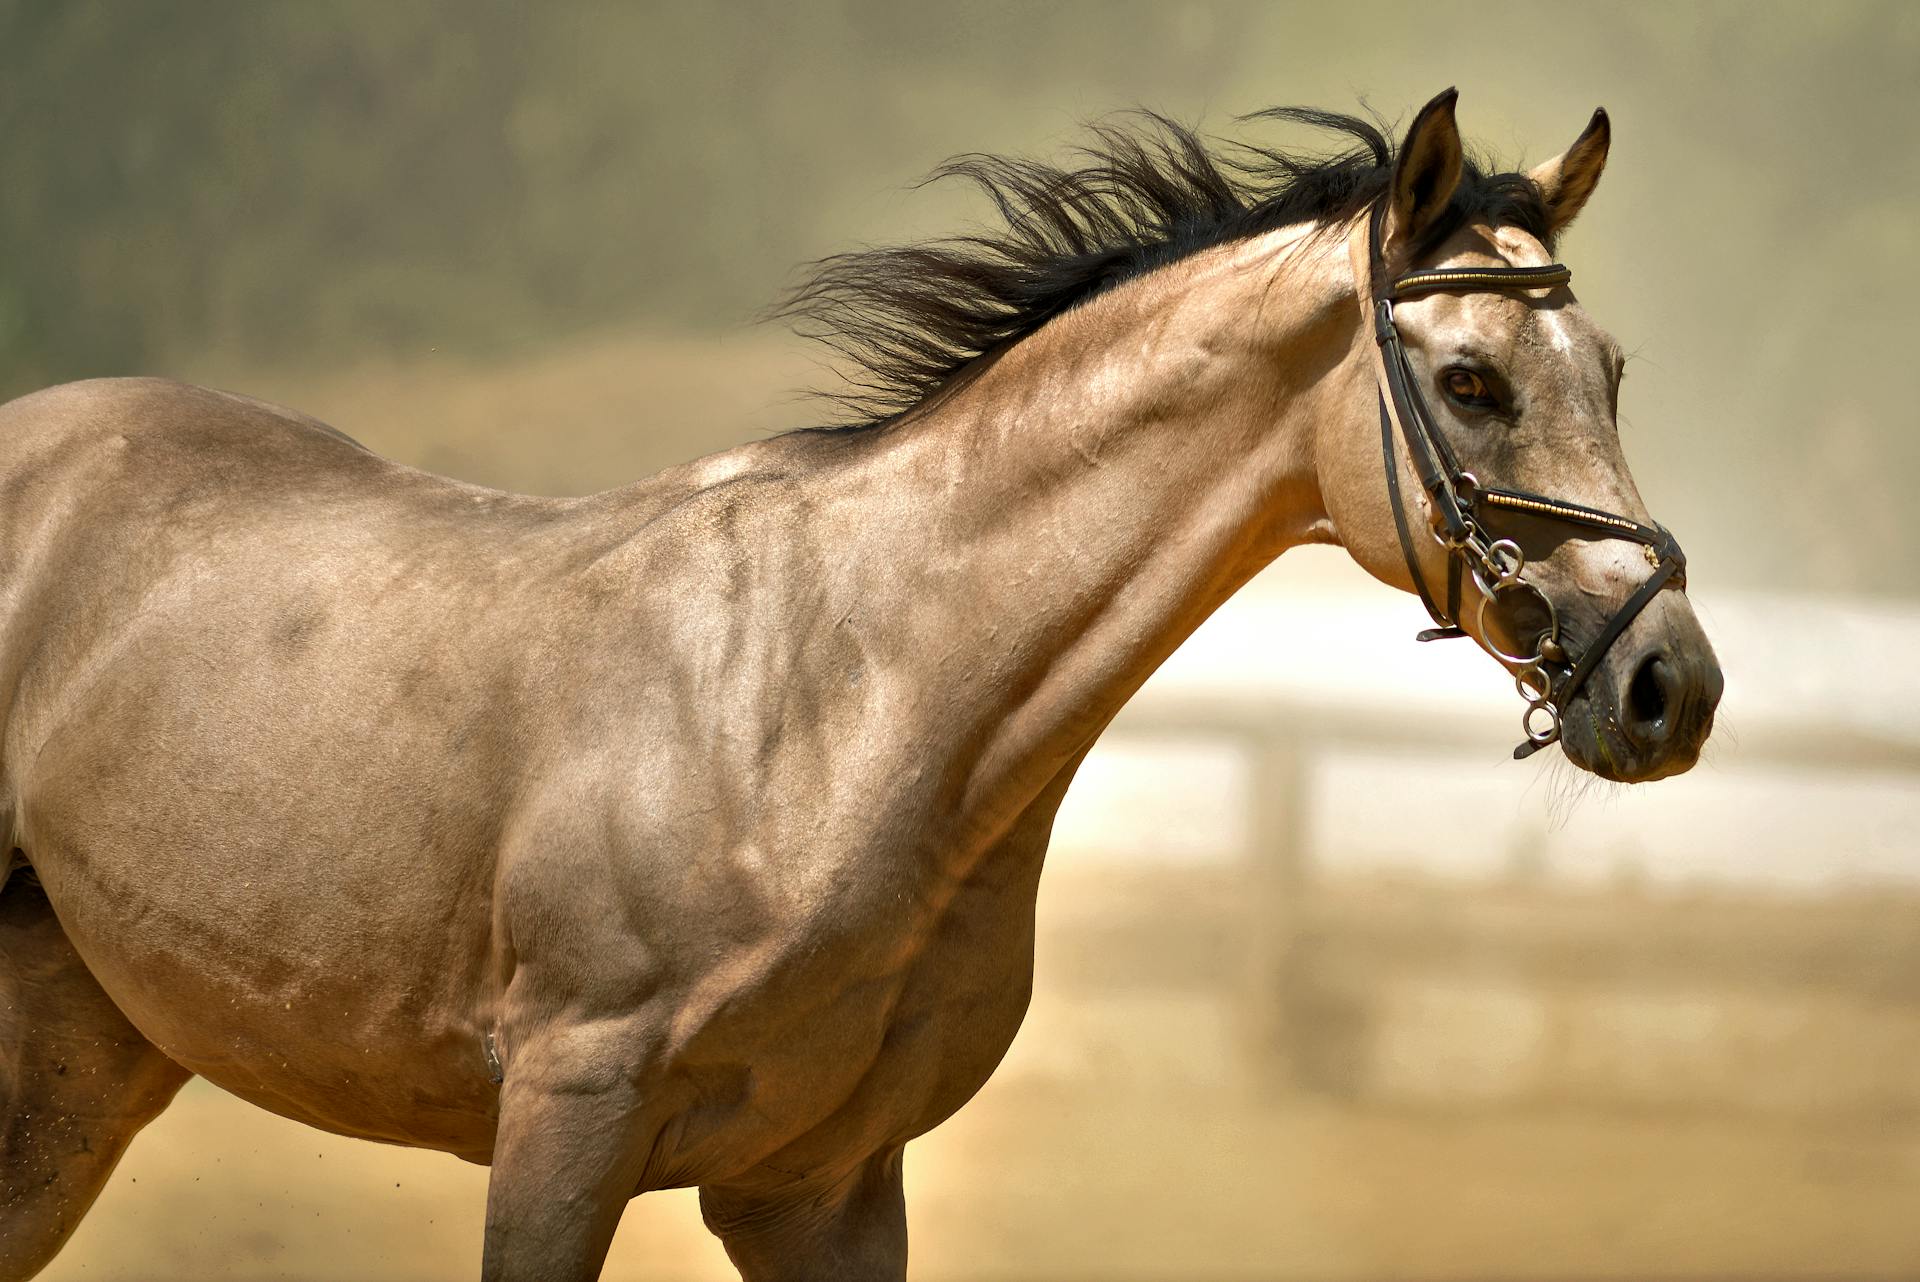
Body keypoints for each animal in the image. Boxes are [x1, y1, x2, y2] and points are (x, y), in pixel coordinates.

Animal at [0, 92, 1720, 1282]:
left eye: (1613, 370)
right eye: (1471, 381)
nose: (1669, 686)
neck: (847, 705)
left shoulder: (820, 1185)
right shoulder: (562, 1127)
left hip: (81, 1057)